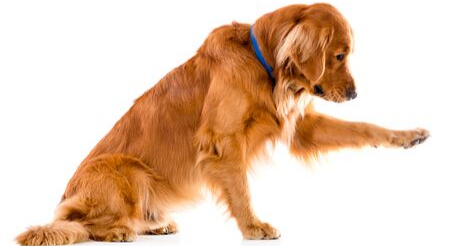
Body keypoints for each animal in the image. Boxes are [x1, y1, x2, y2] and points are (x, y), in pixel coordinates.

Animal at [16, 2, 430, 245]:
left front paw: (408, 136)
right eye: (340, 55)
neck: (263, 65)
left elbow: (364, 128)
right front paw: (254, 227)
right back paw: (118, 230)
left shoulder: (301, 127)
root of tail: (65, 198)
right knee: (81, 223)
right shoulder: (223, 141)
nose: (355, 93)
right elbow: (241, 188)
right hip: (128, 170)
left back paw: (152, 223)